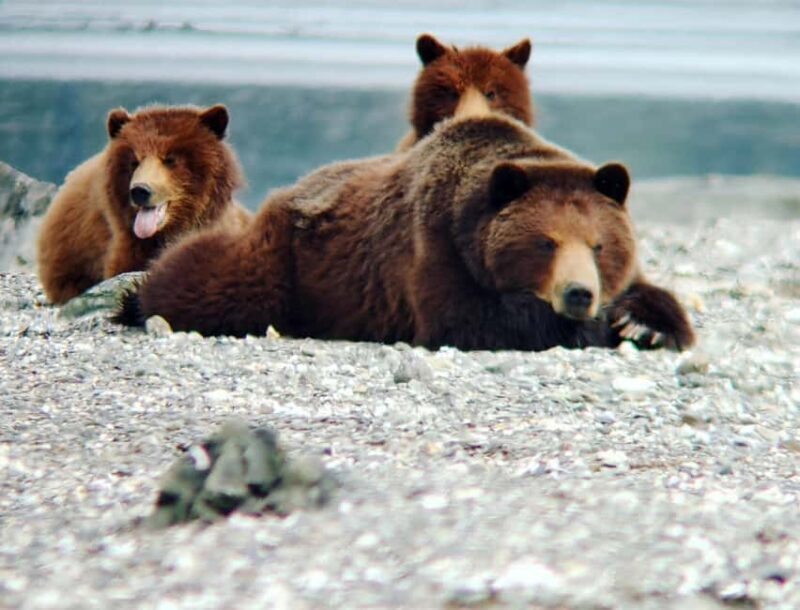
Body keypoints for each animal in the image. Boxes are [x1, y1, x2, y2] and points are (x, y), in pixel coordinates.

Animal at [116, 112, 695, 352]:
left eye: (599, 245)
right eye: (545, 242)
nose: (579, 294)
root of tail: (291, 188)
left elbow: (652, 294)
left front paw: (644, 322)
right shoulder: (433, 247)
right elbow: (471, 321)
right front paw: (594, 325)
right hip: (284, 263)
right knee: (211, 278)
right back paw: (138, 297)